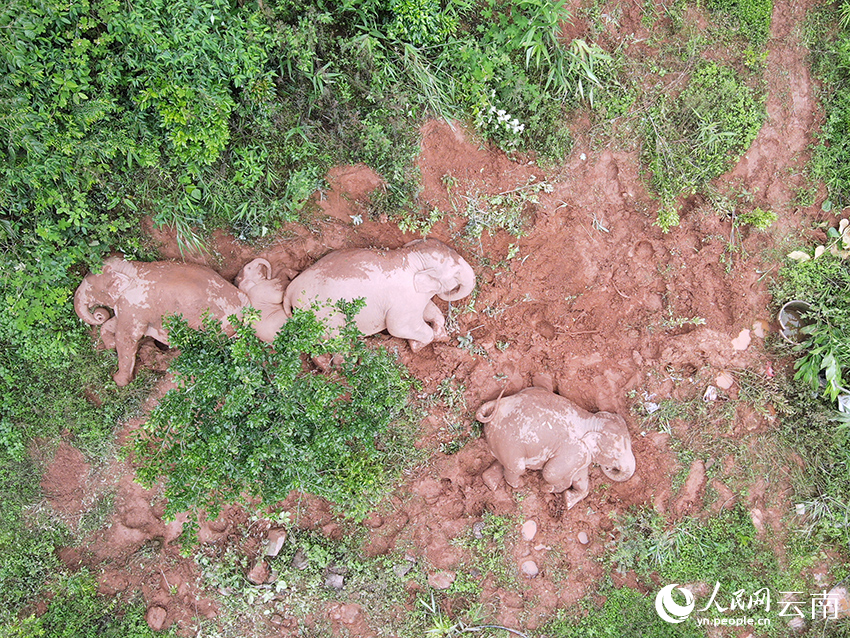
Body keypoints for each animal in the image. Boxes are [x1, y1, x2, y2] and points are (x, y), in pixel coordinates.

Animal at [73, 258, 248, 388]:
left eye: (89, 289)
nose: (98, 314)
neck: (129, 268)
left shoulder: (135, 305)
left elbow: (127, 337)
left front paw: (118, 380)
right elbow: (115, 324)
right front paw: (110, 345)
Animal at [282, 239, 474, 352]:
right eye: (456, 273)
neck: (412, 257)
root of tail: (290, 290)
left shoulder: (415, 296)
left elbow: (429, 310)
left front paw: (442, 336)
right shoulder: (404, 298)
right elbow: (397, 327)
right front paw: (415, 346)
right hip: (322, 314)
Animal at [474, 384, 632, 510]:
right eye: (615, 455)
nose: (610, 468)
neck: (592, 421)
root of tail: (498, 404)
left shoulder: (582, 457)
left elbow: (581, 481)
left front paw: (567, 500)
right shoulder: (575, 450)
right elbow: (550, 472)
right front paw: (549, 488)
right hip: (509, 443)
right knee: (516, 468)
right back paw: (521, 484)